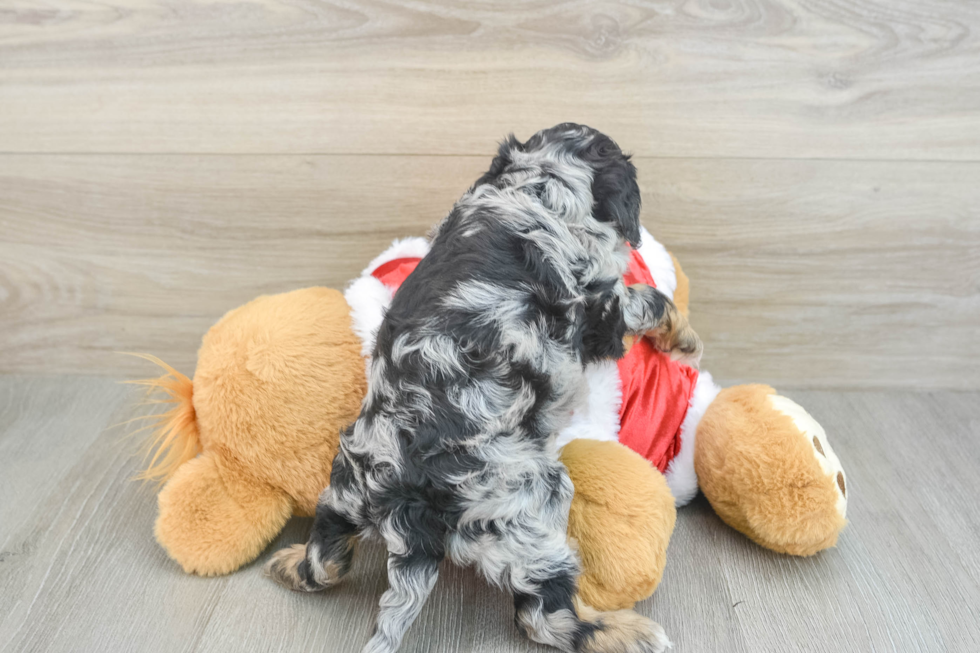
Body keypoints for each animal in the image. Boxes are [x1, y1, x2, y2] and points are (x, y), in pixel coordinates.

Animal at [264, 123, 700, 652]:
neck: (537, 185)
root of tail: (409, 501)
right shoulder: (604, 309)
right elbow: (650, 300)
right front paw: (685, 339)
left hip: (345, 488)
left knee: (326, 557)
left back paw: (289, 563)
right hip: (532, 508)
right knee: (543, 617)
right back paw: (626, 631)